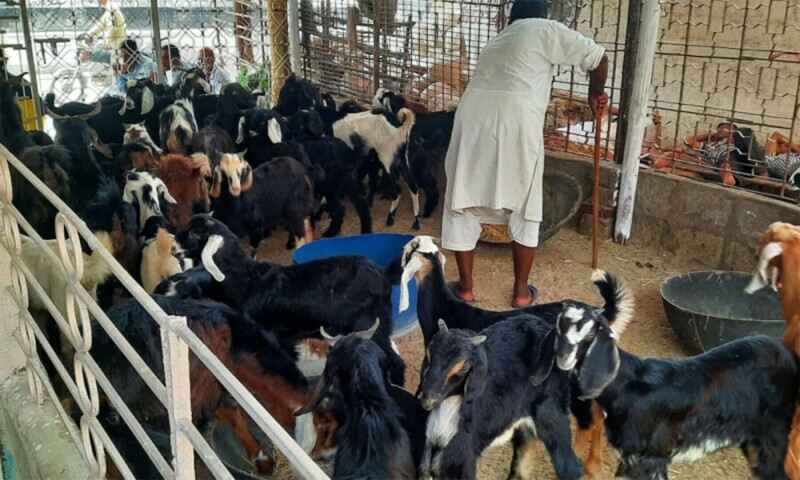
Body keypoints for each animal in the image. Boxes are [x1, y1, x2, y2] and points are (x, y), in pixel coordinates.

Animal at [174, 214, 407, 385]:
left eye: (195, 233)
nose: (173, 245)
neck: (249, 280)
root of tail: (384, 272)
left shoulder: (269, 334)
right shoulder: (285, 338)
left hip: (371, 325)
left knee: (396, 363)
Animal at [418, 316, 584, 480]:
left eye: (464, 367)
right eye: (429, 354)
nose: (427, 398)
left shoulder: (465, 462)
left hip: (551, 412)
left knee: (569, 465)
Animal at [554, 292, 799, 479]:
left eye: (591, 333)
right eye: (560, 325)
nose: (563, 357)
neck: (626, 386)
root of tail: (789, 354)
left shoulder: (649, 457)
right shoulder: (632, 457)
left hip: (773, 433)